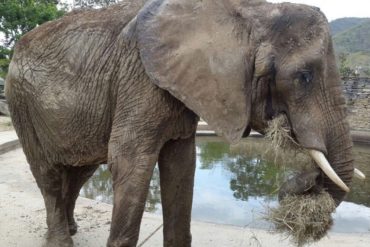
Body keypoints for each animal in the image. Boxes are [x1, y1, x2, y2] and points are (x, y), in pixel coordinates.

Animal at [5, 0, 356, 246]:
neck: (250, 13)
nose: (304, 181)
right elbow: (130, 162)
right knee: (48, 173)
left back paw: (72, 228)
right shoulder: (139, 81)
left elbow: (181, 166)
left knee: (80, 172)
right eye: (304, 76)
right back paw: (61, 240)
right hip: (21, 100)